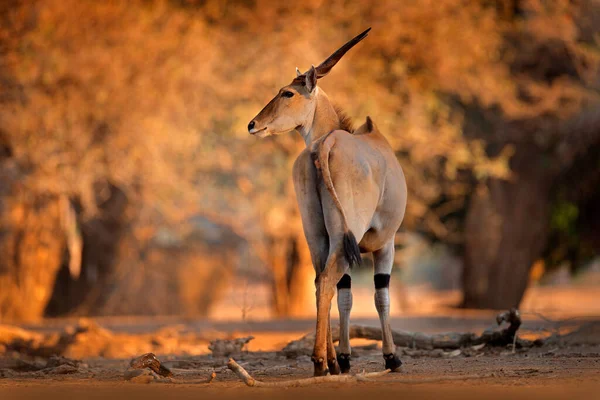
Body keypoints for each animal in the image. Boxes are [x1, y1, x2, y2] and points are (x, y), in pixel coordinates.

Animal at [246, 28, 406, 376]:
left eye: (287, 93)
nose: (252, 124)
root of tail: (324, 145)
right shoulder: (385, 244)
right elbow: (380, 297)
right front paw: (391, 357)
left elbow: (344, 295)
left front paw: (343, 358)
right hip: (347, 236)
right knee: (329, 279)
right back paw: (321, 360)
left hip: (318, 234)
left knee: (322, 282)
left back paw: (328, 361)